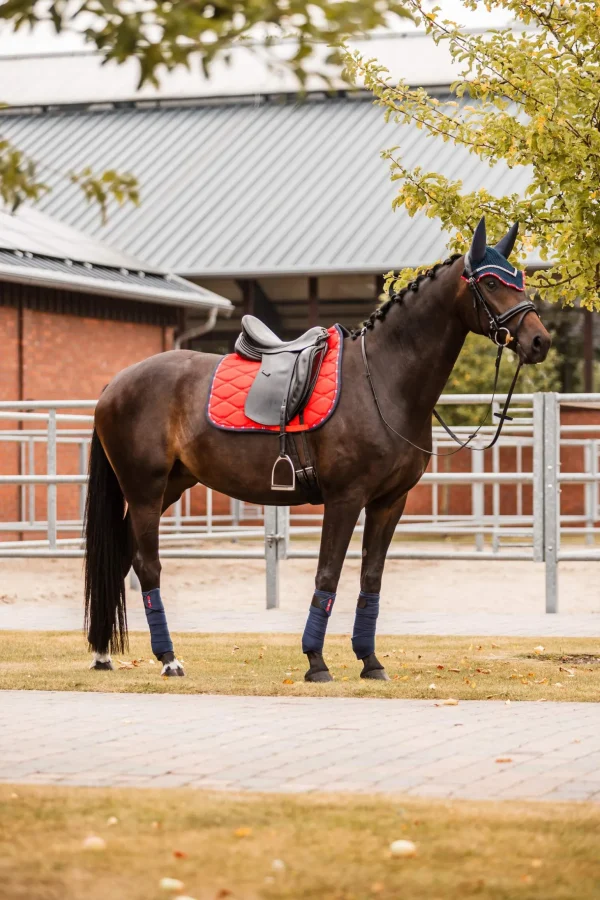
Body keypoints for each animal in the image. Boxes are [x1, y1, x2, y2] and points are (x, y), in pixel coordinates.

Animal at [83, 220, 548, 684]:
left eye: (521, 279)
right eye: (491, 282)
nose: (540, 341)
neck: (382, 379)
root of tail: (114, 385)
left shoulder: (389, 503)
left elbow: (371, 578)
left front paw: (370, 661)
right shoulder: (345, 499)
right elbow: (329, 573)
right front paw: (316, 661)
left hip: (170, 489)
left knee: (120, 557)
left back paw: (104, 653)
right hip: (145, 491)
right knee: (147, 565)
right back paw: (168, 658)